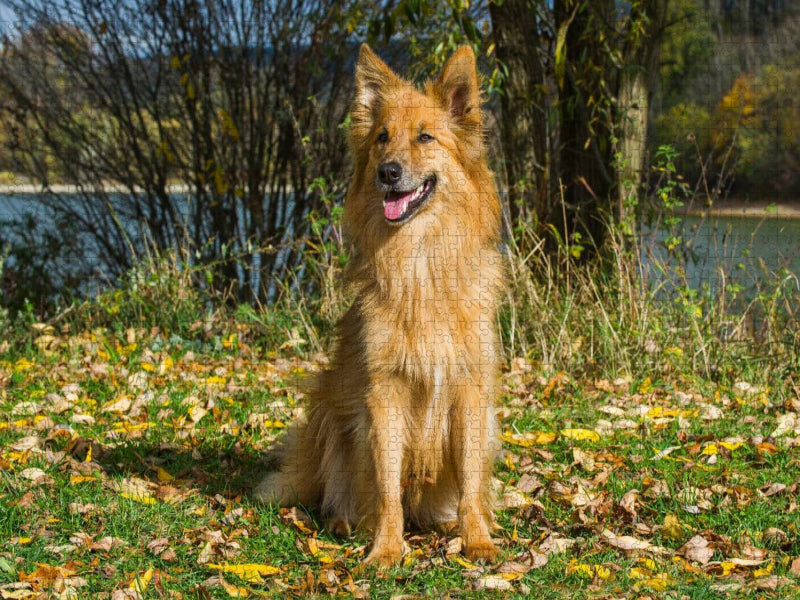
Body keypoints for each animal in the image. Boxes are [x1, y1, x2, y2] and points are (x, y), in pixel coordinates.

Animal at [255, 44, 504, 566]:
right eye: (382, 138)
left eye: (425, 137)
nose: (386, 172)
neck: (421, 264)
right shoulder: (383, 392)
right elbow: (387, 486)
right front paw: (387, 549)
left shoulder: (471, 390)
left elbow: (472, 481)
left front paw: (476, 538)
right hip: (328, 414)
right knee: (342, 490)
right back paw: (346, 522)